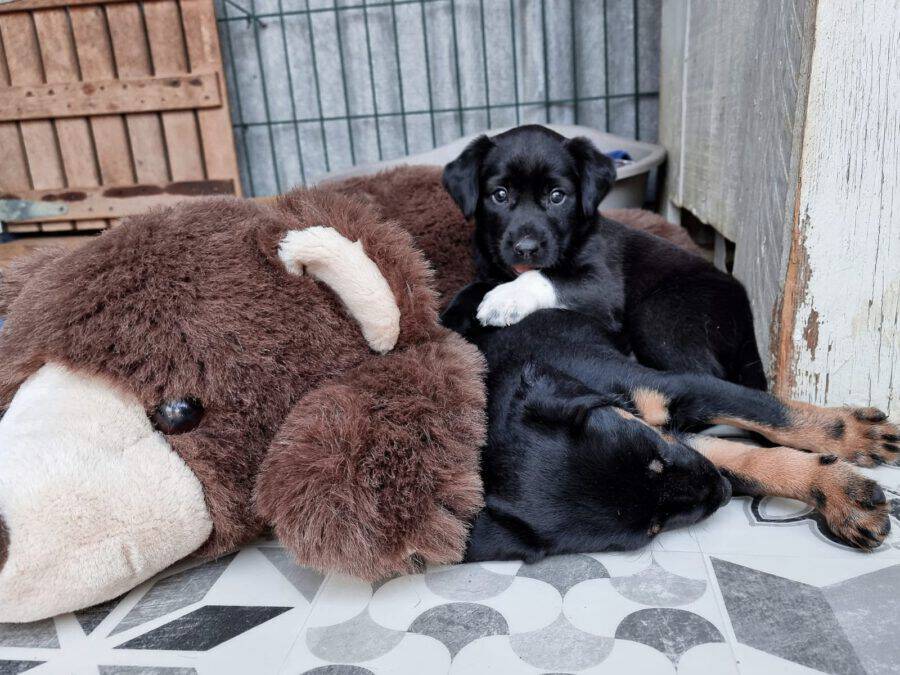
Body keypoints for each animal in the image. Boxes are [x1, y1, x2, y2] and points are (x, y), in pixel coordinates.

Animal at [440, 295, 895, 562]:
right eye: (651, 529)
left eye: (655, 456)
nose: (723, 493)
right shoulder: (690, 448)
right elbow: (755, 461)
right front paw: (843, 494)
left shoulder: (683, 390)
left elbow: (778, 417)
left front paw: (855, 438)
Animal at [441, 125, 766, 390]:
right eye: (500, 194)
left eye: (557, 196)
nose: (526, 248)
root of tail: (746, 313)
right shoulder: (490, 271)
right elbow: (474, 288)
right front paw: (450, 318)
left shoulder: (601, 286)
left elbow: (546, 276)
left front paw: (506, 299)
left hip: (661, 315)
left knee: (705, 375)